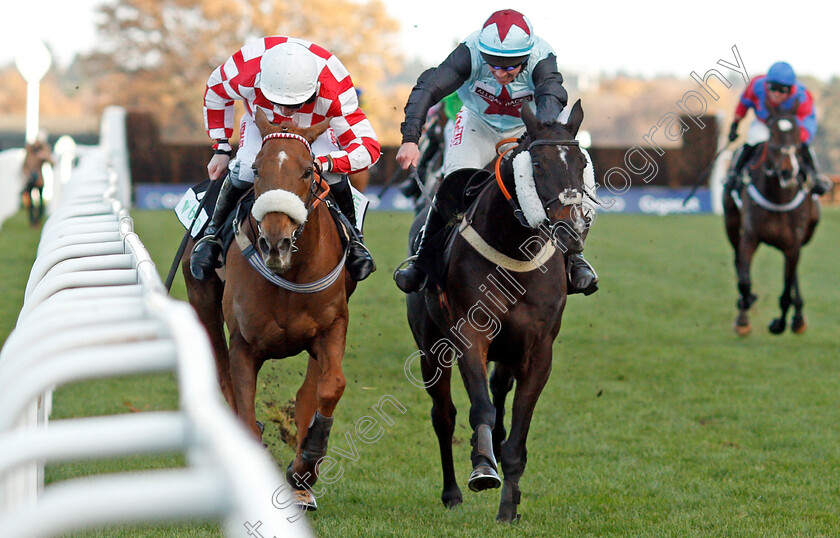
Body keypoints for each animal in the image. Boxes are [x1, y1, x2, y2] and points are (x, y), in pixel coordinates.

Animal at [180, 108, 354, 506]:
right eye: (257, 170)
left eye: (307, 171)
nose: (275, 242)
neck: (290, 274)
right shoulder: (245, 345)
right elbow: (242, 404)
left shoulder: (332, 326)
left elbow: (329, 387)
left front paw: (306, 465)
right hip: (202, 299)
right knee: (222, 374)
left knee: (309, 391)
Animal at [406, 100, 592, 520]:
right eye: (536, 164)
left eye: (581, 163)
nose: (572, 230)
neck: (513, 250)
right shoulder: (469, 335)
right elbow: (480, 410)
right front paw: (482, 468)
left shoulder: (538, 350)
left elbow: (517, 436)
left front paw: (509, 507)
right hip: (430, 348)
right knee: (444, 416)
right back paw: (452, 491)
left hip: (508, 352)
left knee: (498, 391)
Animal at [720, 99, 820, 336]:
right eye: (772, 133)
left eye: (796, 134)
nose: (787, 171)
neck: (779, 197)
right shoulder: (750, 236)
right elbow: (744, 281)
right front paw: (744, 311)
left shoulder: (793, 245)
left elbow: (786, 291)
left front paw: (779, 323)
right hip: (731, 222)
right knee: (738, 261)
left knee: (793, 276)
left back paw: (798, 318)